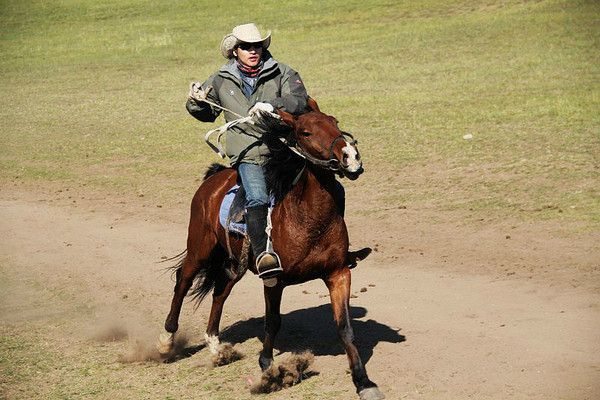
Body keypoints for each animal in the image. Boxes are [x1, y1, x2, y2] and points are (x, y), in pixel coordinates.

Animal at [159, 97, 384, 400]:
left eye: (334, 122)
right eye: (305, 133)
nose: (350, 156)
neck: (307, 219)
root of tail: (213, 179)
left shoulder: (338, 273)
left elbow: (344, 327)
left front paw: (363, 381)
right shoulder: (274, 280)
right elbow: (272, 322)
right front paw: (268, 369)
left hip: (234, 264)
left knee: (219, 292)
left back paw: (216, 347)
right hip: (199, 248)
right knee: (182, 282)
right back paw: (167, 339)